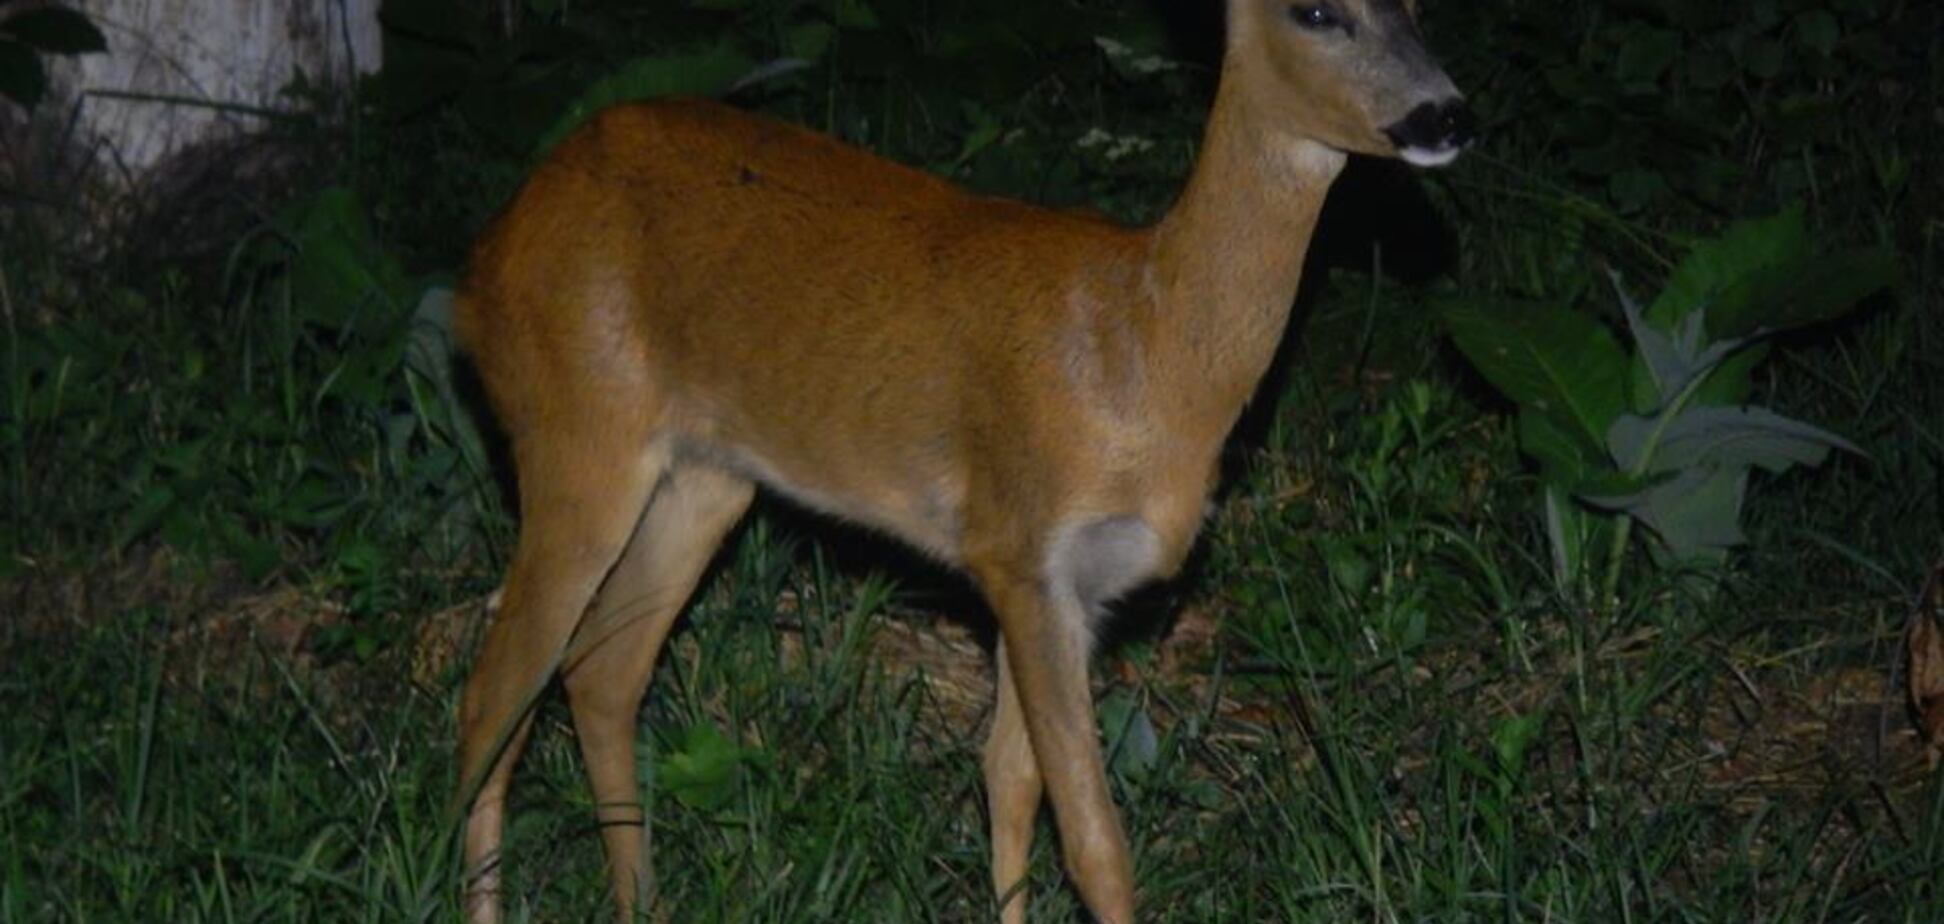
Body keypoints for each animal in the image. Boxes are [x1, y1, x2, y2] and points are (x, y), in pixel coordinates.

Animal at [447, 1, 1461, 924]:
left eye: (1419, 6)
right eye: (1316, 11)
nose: (1447, 114)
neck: (1148, 349)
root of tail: (480, 267)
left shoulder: (1069, 589)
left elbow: (1010, 782)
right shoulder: (1023, 549)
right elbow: (1094, 841)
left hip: (705, 477)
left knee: (601, 669)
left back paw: (640, 903)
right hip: (578, 430)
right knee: (497, 689)